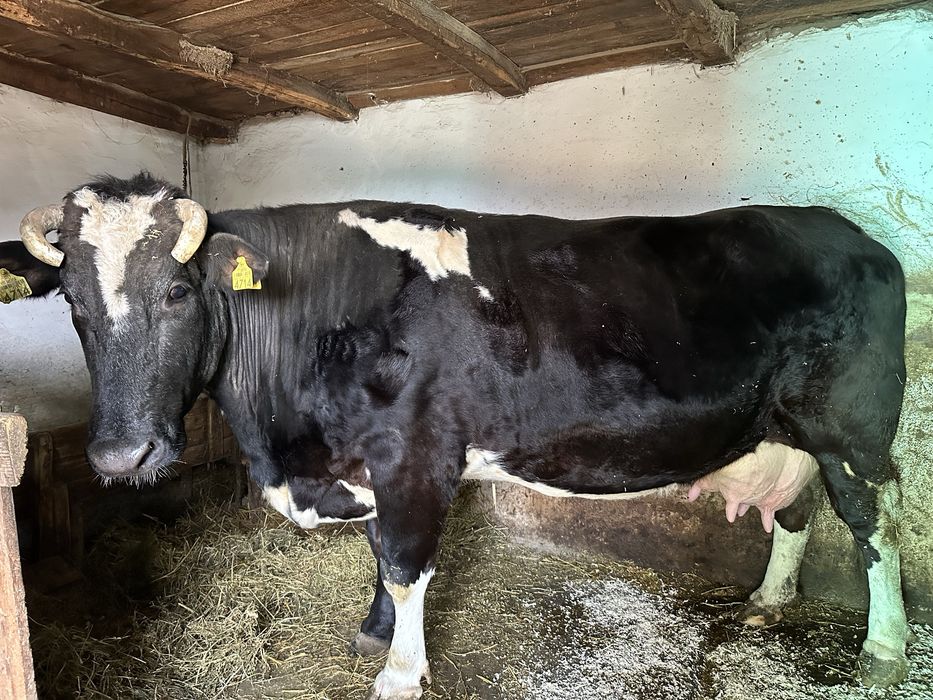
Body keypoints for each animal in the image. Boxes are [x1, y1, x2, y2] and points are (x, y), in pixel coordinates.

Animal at [1, 172, 910, 697]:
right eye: (71, 302)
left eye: (179, 294)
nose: (121, 454)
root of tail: (843, 228)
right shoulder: (367, 464)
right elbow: (378, 555)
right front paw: (372, 633)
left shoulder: (415, 459)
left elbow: (406, 566)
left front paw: (400, 673)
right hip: (784, 432)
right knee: (796, 513)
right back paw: (766, 602)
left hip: (854, 429)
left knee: (873, 526)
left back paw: (886, 648)